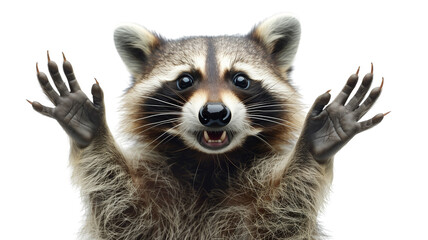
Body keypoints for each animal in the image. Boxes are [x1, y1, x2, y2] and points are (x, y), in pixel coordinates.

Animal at [28, 14, 386, 239]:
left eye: (240, 79)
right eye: (185, 80)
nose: (214, 113)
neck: (209, 163)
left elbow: (281, 217)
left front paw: (313, 145)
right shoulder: (149, 208)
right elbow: (123, 215)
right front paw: (92, 133)